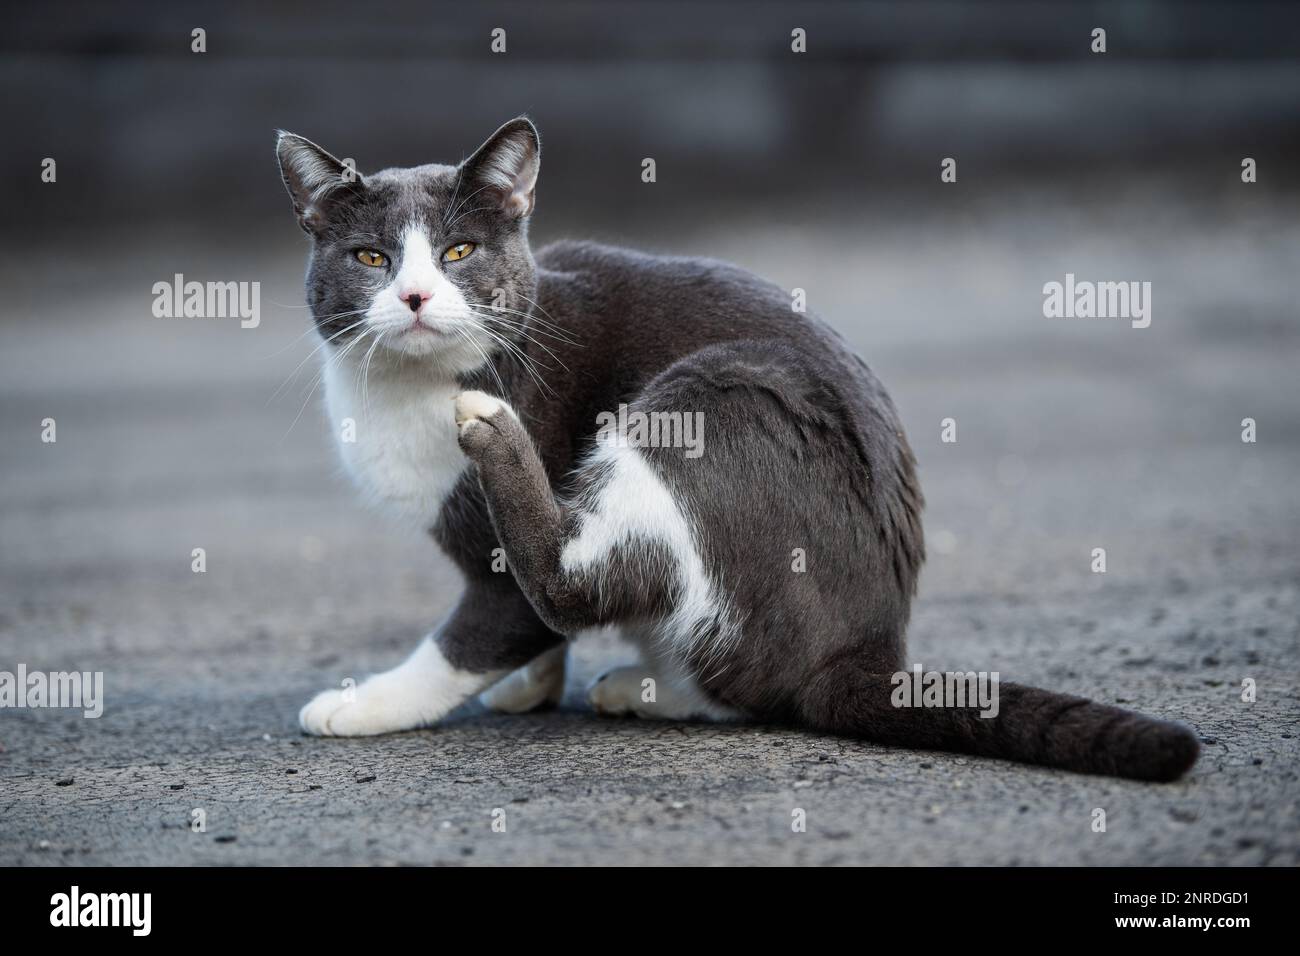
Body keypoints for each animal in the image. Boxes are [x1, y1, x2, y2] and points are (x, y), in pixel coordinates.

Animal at [274, 115, 1196, 780]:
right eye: (370, 257)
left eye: (459, 251)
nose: (416, 297)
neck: (407, 389)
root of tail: (869, 646)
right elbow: (529, 637)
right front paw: (532, 686)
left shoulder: (498, 567)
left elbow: (483, 632)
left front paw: (368, 704)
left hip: (721, 395)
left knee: (606, 593)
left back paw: (497, 440)